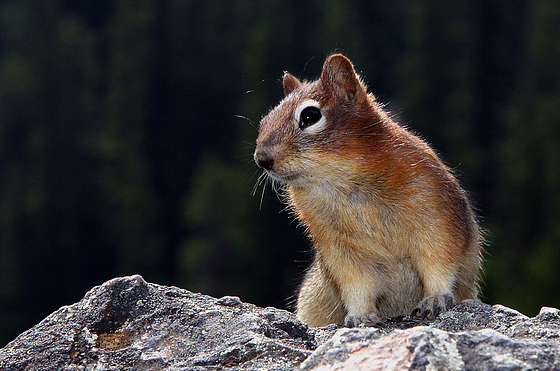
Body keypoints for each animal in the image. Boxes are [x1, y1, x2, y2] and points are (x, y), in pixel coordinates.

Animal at [254, 53, 482, 326]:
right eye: (265, 120)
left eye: (309, 116)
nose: (261, 159)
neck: (343, 183)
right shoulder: (338, 250)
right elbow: (356, 286)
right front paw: (361, 317)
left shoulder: (437, 220)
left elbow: (440, 263)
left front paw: (435, 299)